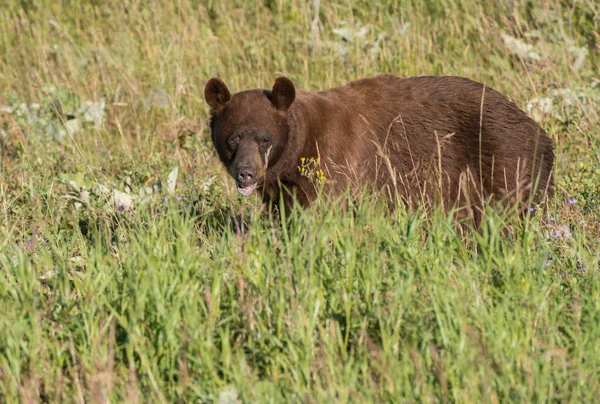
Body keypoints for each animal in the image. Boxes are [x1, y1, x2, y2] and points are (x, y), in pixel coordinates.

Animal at [205, 74, 552, 223]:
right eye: (234, 138)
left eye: (264, 139)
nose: (246, 173)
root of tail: (539, 130)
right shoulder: (285, 190)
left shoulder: (336, 165)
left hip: (505, 163)